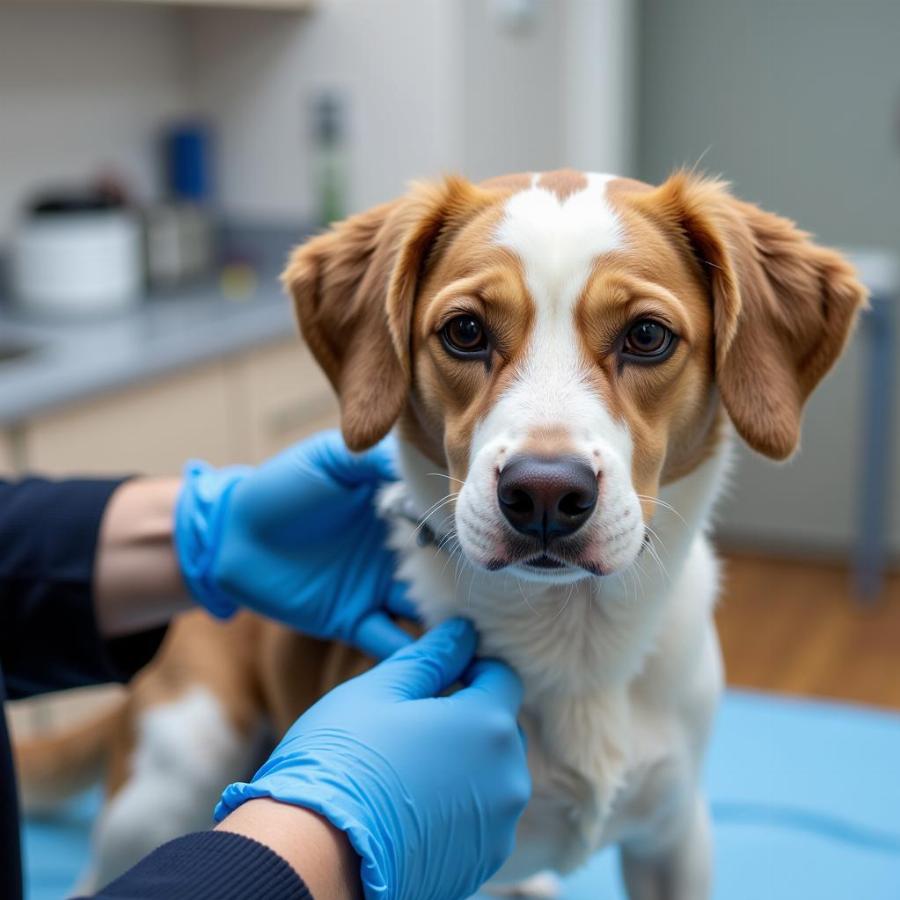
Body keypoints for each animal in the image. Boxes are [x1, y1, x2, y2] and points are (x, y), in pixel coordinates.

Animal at [14, 171, 864, 900]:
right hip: (183, 760)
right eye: (464, 331)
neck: (574, 640)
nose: (545, 493)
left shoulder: (675, 836)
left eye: (648, 336)